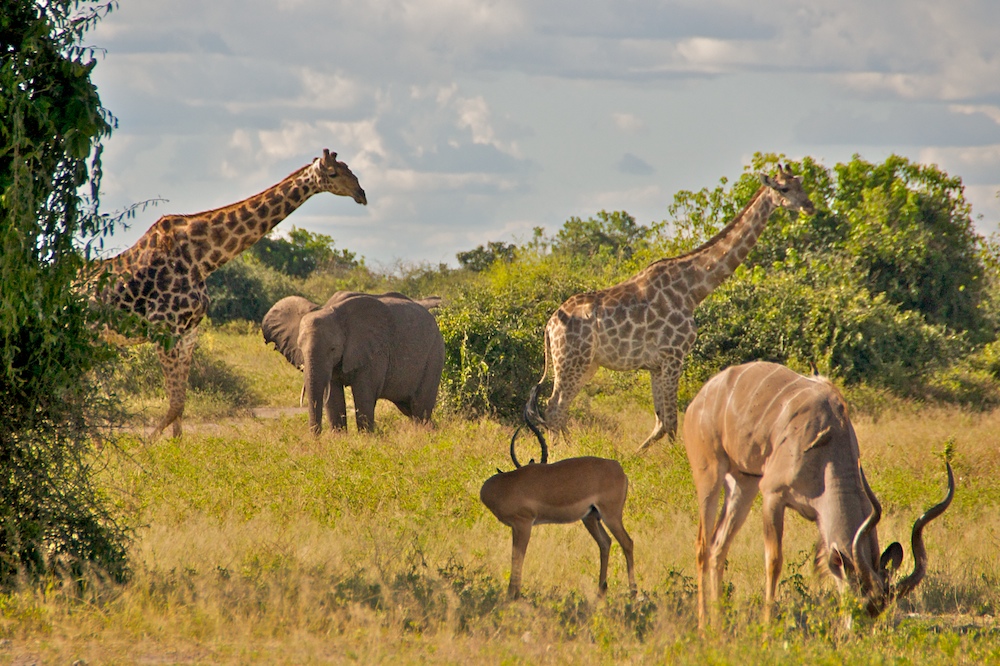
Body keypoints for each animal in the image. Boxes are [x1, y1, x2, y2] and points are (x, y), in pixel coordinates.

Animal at [97, 148, 368, 438]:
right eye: (333, 173)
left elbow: (179, 404)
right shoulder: (165, 328)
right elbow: (175, 403)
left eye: (350, 169)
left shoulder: (188, 332)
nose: (361, 194)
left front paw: (174, 446)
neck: (201, 258)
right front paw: (147, 444)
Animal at [262, 290, 446, 434]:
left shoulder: (374, 351)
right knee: (409, 409)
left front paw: (366, 439)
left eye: (333, 349)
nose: (316, 439)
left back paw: (425, 435)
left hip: (434, 355)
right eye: (299, 348)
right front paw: (339, 439)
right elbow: (333, 396)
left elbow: (363, 394)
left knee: (420, 408)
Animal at [524, 163, 812, 448]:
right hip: (573, 360)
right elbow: (672, 421)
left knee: (558, 408)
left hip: (586, 363)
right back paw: (562, 451)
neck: (693, 289)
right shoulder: (675, 354)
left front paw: (640, 454)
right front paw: (675, 459)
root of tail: (549, 325)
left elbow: (660, 422)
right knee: (554, 407)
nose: (809, 206)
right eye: (784, 188)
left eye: (800, 183)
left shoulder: (656, 364)